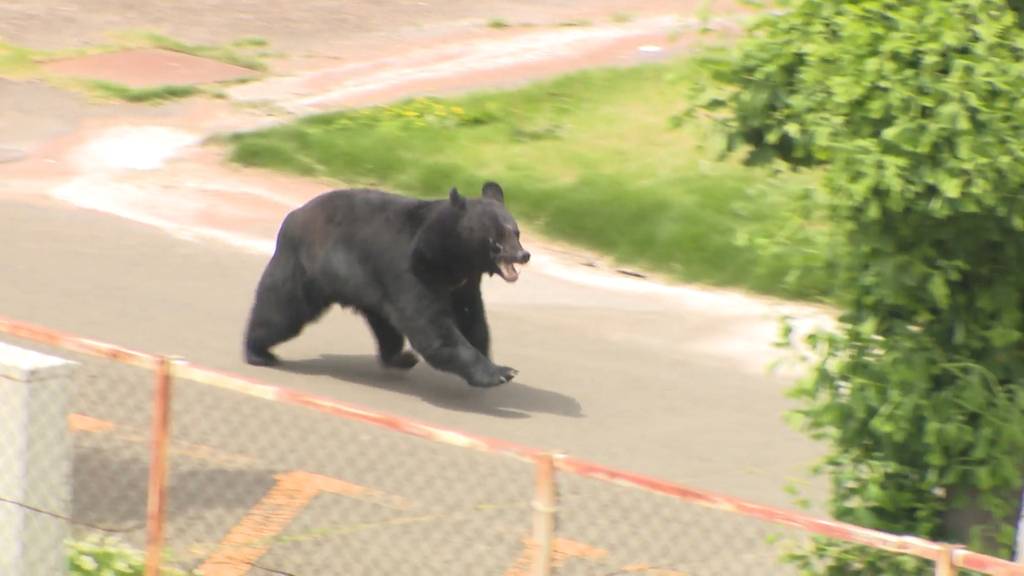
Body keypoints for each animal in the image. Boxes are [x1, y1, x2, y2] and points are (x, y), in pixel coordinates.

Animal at [242, 181, 530, 388]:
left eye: (516, 232)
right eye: (497, 239)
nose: (523, 255)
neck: (450, 255)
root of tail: (292, 215)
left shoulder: (464, 283)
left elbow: (471, 319)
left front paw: (493, 360)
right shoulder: (414, 271)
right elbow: (432, 327)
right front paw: (500, 373)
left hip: (368, 289)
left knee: (385, 328)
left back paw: (401, 358)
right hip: (304, 268)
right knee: (280, 311)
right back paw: (258, 352)